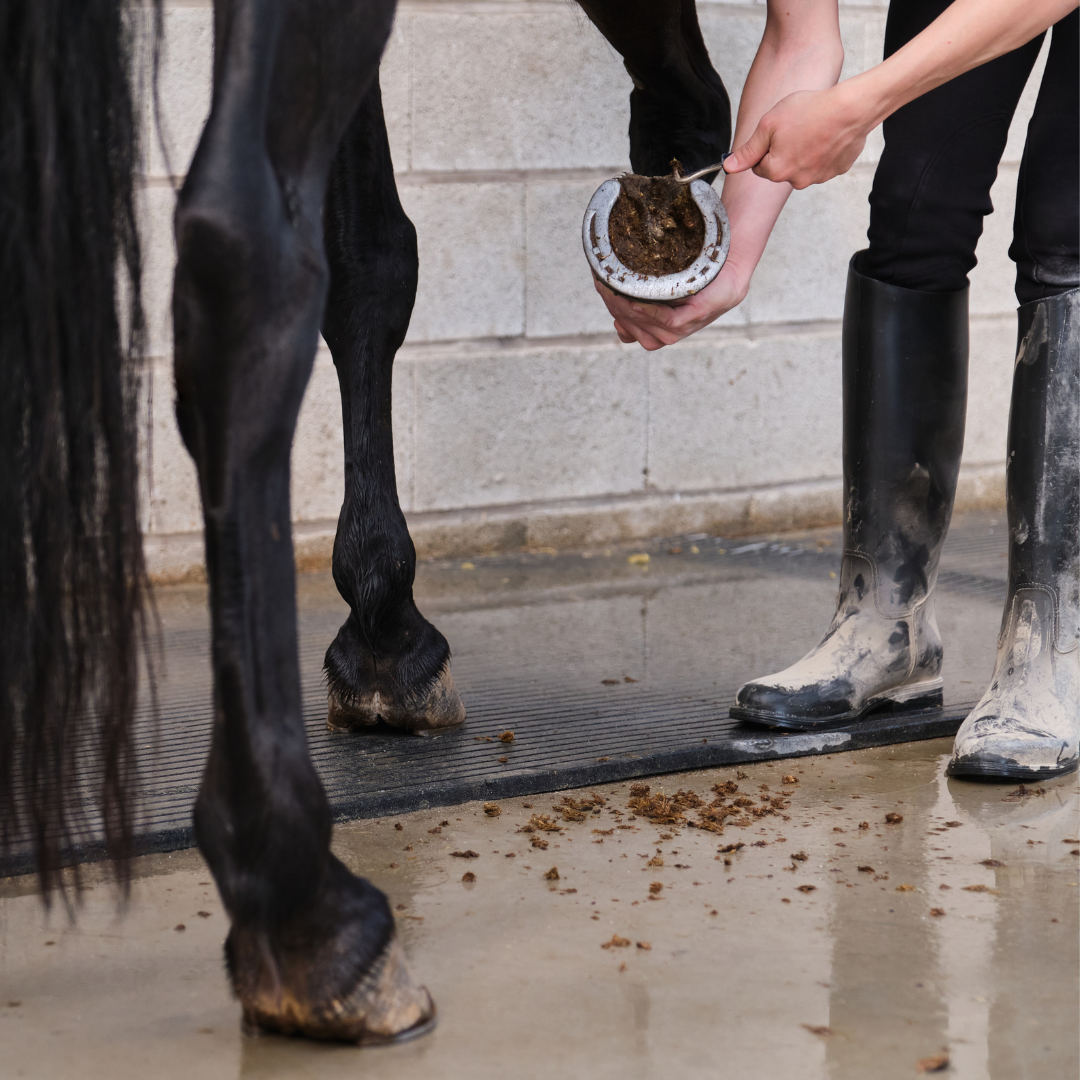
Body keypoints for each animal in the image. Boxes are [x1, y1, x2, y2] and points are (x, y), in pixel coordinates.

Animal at [1, 0, 731, 1043]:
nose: (700, 137)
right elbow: (369, 253)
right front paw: (391, 640)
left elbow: (362, 255)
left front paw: (377, 627)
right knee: (242, 259)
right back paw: (308, 916)